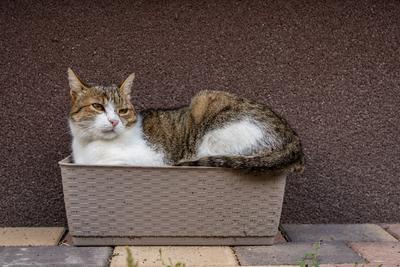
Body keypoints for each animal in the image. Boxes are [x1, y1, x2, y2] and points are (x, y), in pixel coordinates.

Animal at [67, 69, 304, 174]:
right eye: (98, 106)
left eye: (123, 111)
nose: (114, 121)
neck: (92, 146)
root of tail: (294, 138)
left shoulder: (152, 159)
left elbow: (113, 162)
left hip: (209, 117)